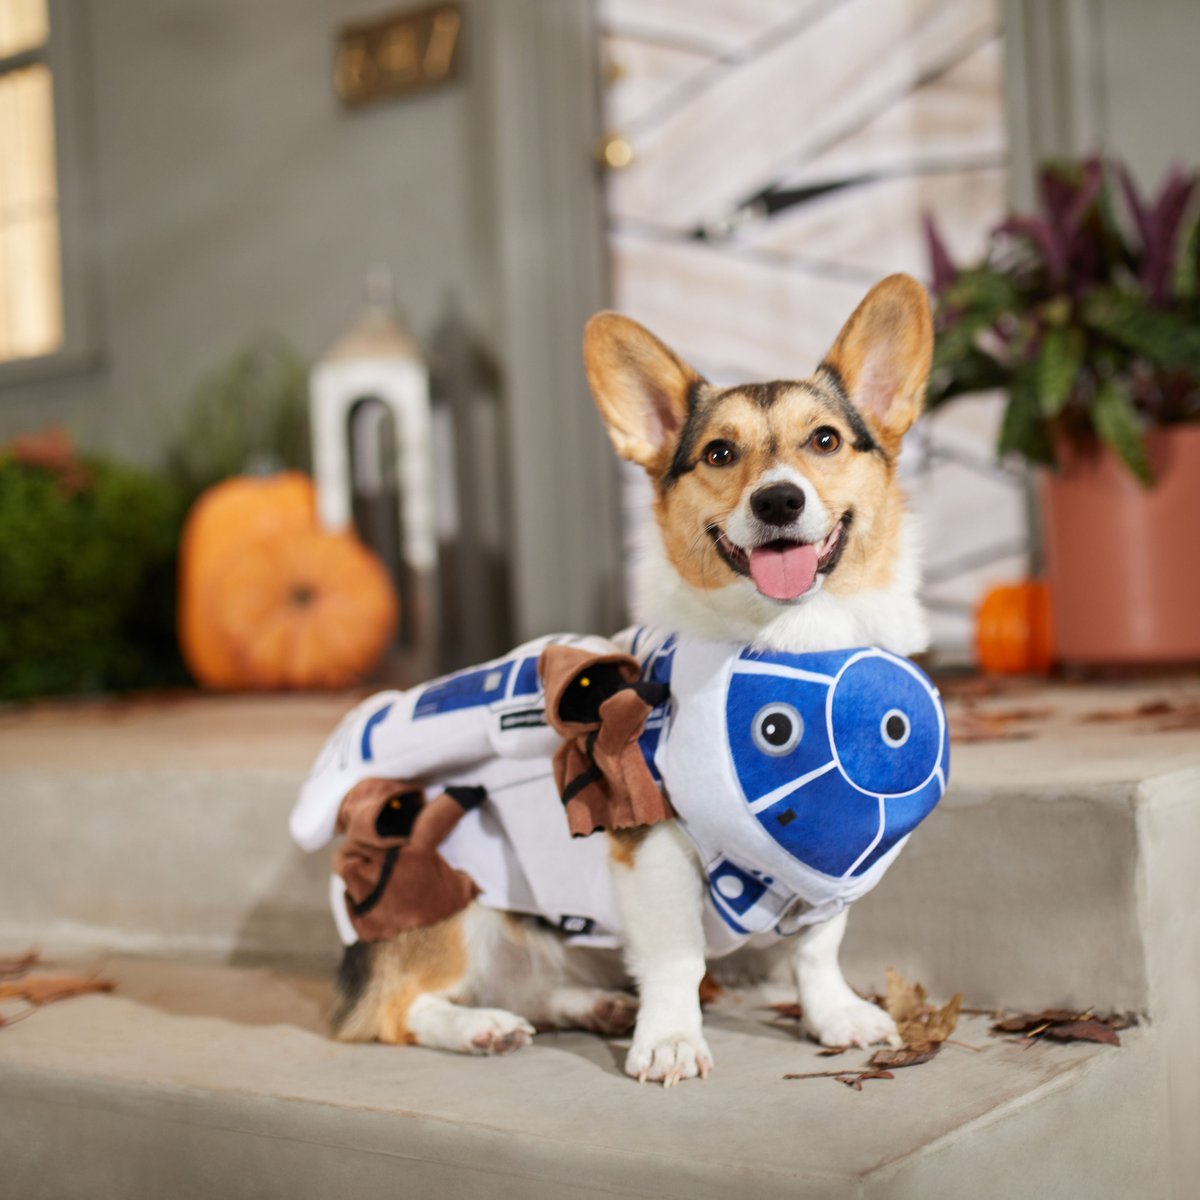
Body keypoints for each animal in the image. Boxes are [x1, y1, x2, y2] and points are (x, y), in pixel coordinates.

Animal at [295, 274, 931, 1089]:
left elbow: (817, 951)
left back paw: (588, 1004)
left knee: (529, 985)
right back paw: (479, 1027)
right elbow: (676, 958)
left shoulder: (832, 870)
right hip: (450, 897)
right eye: (720, 452)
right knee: (397, 1012)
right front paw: (671, 1041)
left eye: (825, 440)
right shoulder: (652, 850)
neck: (788, 639)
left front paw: (836, 1015)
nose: (778, 501)